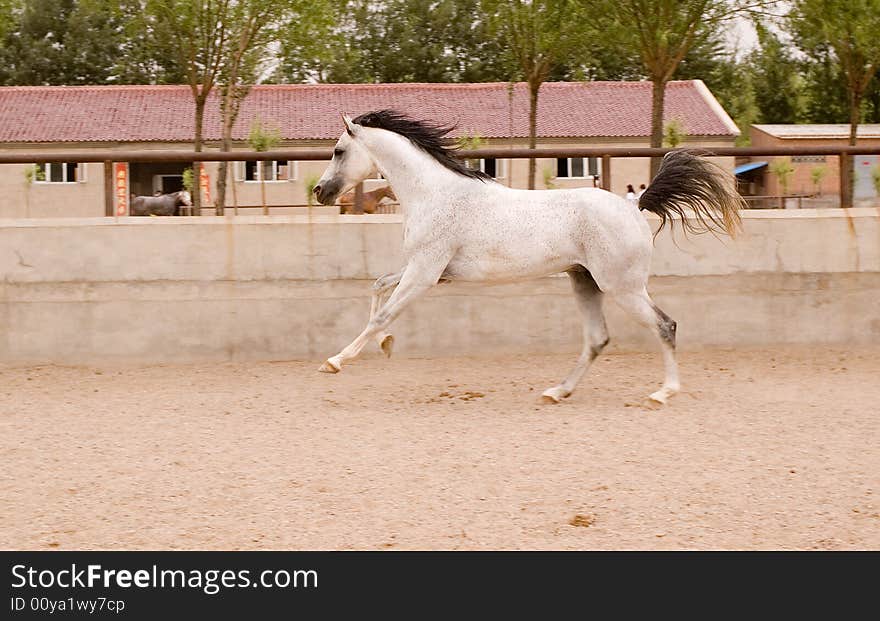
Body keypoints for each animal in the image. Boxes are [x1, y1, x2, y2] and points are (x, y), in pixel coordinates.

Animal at [312, 109, 740, 404]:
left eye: (338, 150)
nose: (319, 191)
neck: (435, 194)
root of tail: (634, 206)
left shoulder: (424, 273)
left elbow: (383, 313)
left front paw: (335, 360)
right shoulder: (423, 269)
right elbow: (378, 287)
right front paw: (385, 344)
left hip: (623, 287)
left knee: (665, 326)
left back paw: (662, 394)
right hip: (585, 282)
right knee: (597, 339)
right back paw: (557, 392)